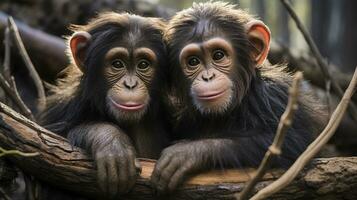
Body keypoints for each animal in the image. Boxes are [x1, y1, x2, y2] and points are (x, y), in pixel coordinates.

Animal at [150, 1, 326, 192]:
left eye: (218, 55)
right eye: (193, 61)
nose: (208, 77)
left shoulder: (277, 96)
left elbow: (296, 141)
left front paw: (189, 152)